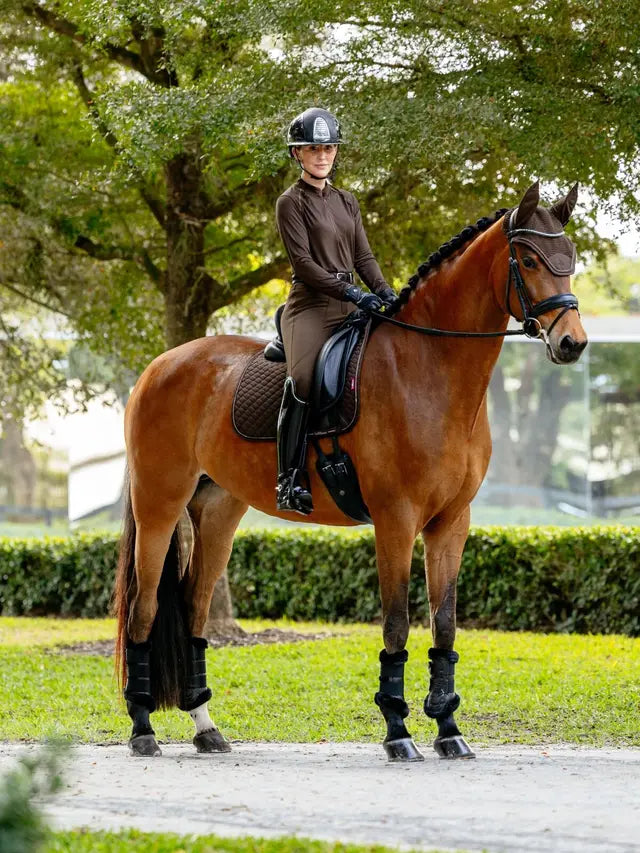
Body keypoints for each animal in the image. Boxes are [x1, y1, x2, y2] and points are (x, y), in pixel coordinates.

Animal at [114, 181, 587, 760]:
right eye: (530, 258)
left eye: (569, 258)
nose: (572, 342)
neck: (429, 369)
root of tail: (159, 366)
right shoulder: (395, 520)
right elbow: (397, 625)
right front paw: (398, 731)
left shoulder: (451, 522)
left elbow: (445, 626)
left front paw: (449, 730)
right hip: (159, 505)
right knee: (143, 609)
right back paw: (142, 729)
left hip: (219, 512)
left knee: (194, 610)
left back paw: (206, 728)